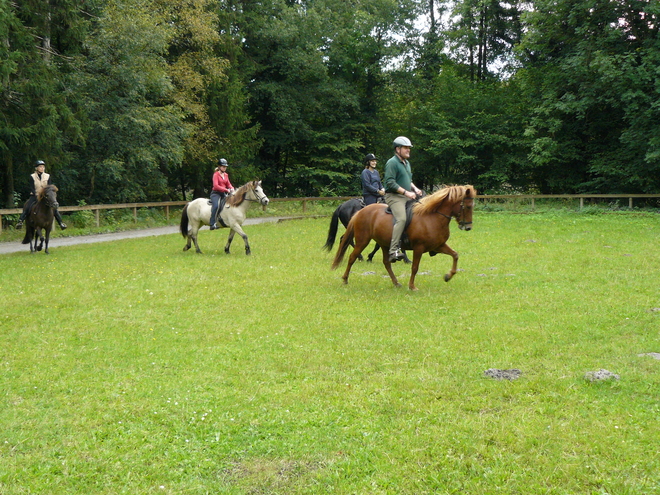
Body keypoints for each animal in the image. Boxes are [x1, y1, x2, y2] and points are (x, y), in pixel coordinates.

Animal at [330, 188, 474, 292]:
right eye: (468, 206)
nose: (468, 227)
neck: (431, 217)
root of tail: (360, 211)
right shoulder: (419, 248)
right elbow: (415, 267)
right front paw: (412, 286)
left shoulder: (438, 245)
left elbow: (455, 255)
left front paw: (448, 276)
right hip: (362, 240)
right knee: (352, 257)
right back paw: (345, 279)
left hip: (384, 244)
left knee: (386, 263)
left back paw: (396, 282)